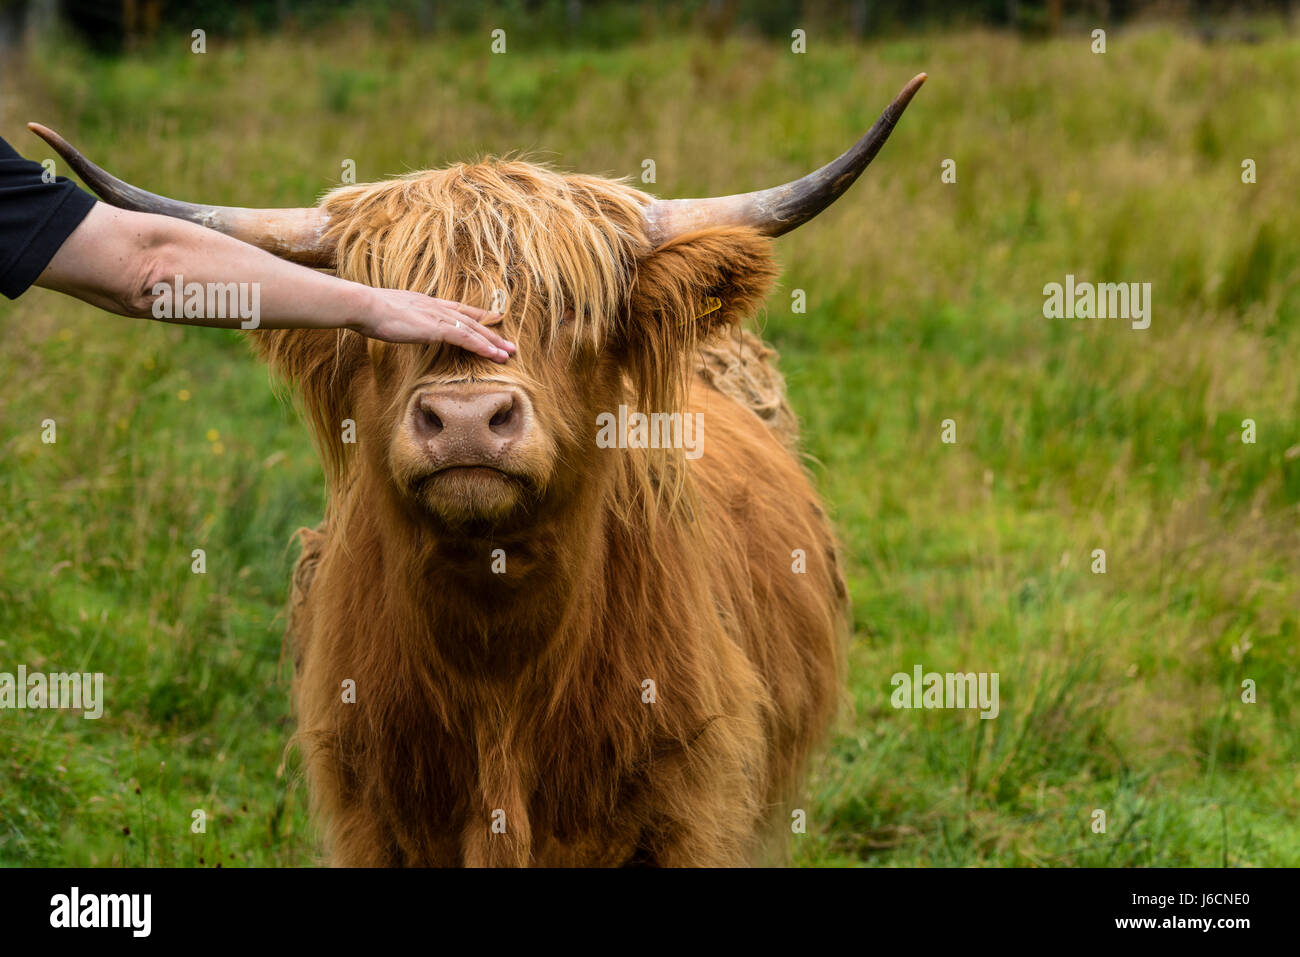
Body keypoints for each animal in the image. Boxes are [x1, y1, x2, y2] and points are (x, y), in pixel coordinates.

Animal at [34, 73, 924, 866]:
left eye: (576, 308)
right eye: (379, 316)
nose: (466, 421)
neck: (499, 672)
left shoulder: (693, 814)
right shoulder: (370, 822)